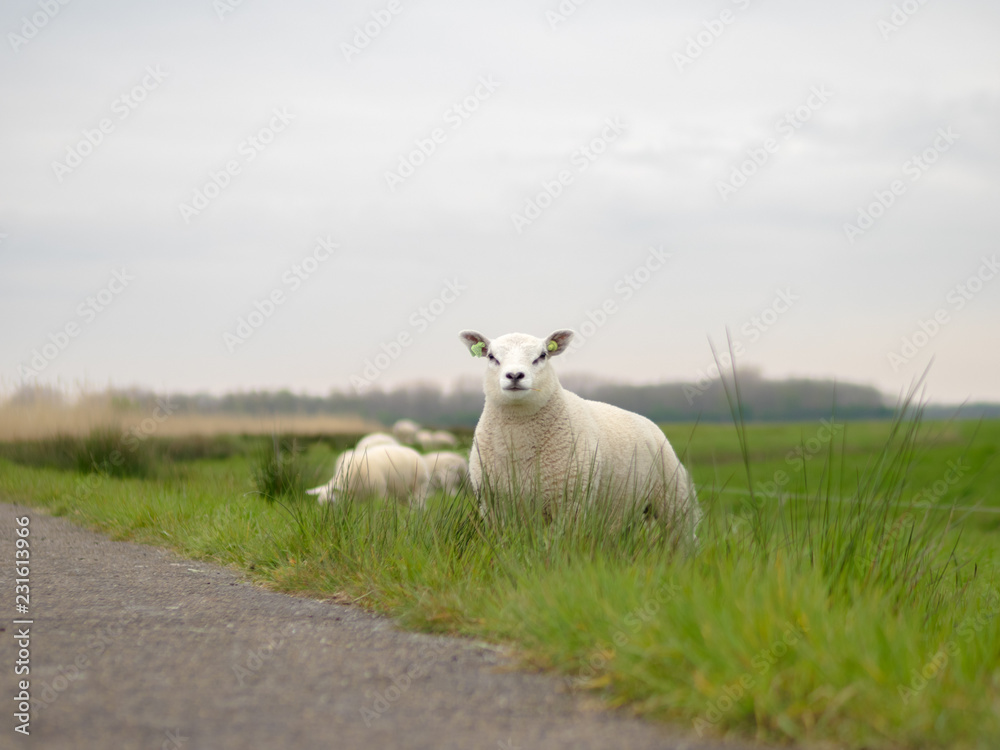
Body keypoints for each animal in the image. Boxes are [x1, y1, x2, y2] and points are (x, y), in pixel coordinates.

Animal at [458, 328, 700, 542]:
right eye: (491, 356)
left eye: (542, 355)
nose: (515, 375)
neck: (520, 440)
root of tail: (649, 423)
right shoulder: (494, 506)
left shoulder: (570, 502)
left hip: (674, 497)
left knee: (683, 537)